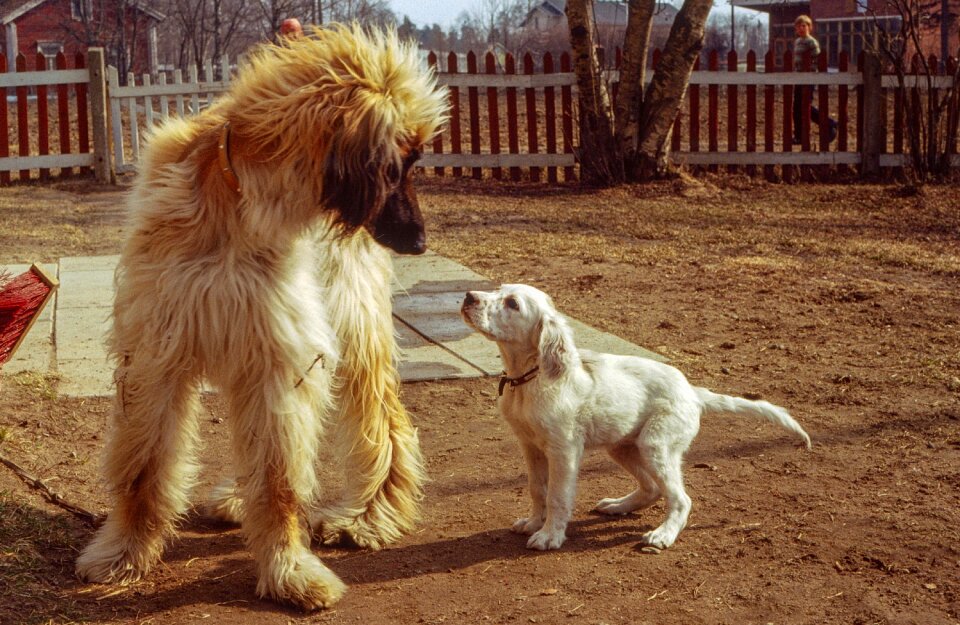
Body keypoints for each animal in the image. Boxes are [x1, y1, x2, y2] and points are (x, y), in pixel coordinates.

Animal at [76, 25, 450, 608]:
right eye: (398, 165)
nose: (419, 242)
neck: (243, 200)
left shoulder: (280, 355)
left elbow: (279, 480)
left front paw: (287, 569)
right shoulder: (161, 347)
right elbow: (146, 463)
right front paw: (124, 554)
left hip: (351, 324)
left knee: (384, 422)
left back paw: (367, 516)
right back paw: (237, 497)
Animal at [462, 284, 808, 552]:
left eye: (512, 303)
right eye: (497, 289)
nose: (468, 297)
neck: (528, 378)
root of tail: (693, 392)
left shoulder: (563, 450)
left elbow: (557, 495)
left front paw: (549, 536)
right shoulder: (530, 446)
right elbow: (537, 488)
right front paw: (534, 522)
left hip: (657, 445)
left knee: (681, 499)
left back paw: (663, 535)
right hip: (623, 445)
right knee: (652, 488)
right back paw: (618, 506)